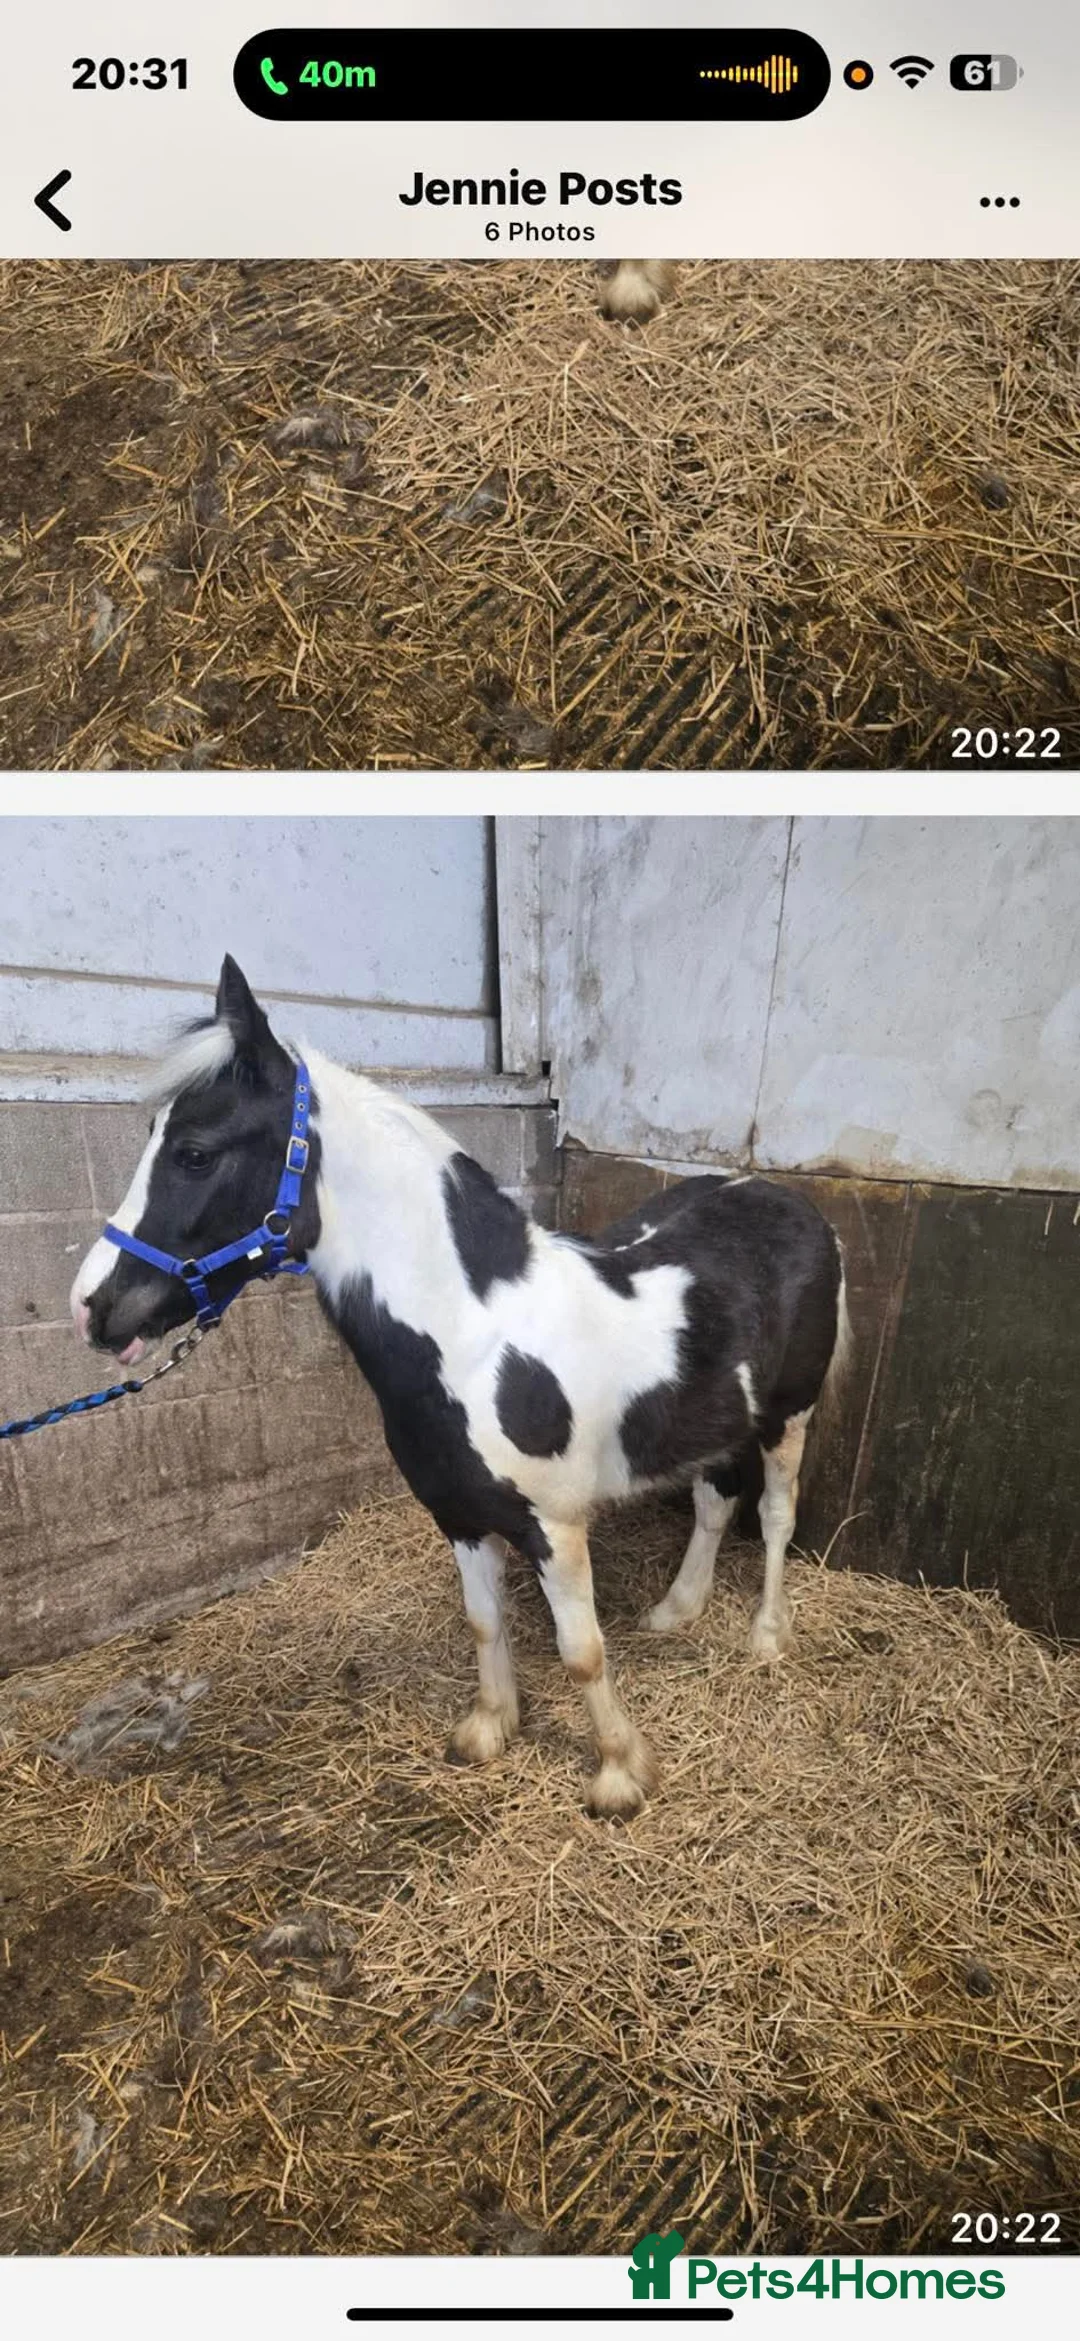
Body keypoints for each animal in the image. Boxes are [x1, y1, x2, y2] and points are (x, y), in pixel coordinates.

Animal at [71, 956, 850, 1819]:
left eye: (196, 1153)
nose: (94, 1307)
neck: (477, 1339)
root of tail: (794, 1203)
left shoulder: (553, 1525)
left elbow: (582, 1650)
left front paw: (619, 1772)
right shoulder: (460, 1515)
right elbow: (484, 1623)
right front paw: (488, 1730)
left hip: (789, 1415)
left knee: (775, 1514)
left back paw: (768, 1636)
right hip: (717, 1420)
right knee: (714, 1502)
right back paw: (677, 1611)